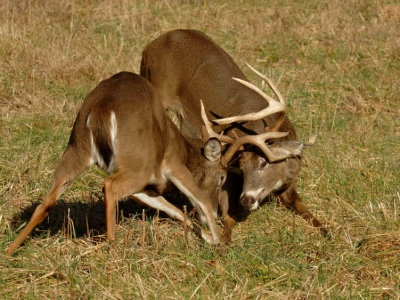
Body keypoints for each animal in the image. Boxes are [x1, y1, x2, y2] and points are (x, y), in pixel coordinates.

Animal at [6, 71, 228, 254]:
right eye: (222, 177)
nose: (218, 212)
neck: (184, 148)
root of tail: (102, 108)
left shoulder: (143, 188)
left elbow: (173, 209)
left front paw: (208, 237)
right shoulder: (171, 165)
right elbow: (199, 197)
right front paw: (219, 241)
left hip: (77, 147)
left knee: (46, 202)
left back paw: (9, 251)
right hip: (139, 162)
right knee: (109, 186)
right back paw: (112, 246)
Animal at [141, 29, 328, 240]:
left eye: (264, 163)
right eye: (242, 168)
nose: (247, 199)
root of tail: (149, 47)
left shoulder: (289, 185)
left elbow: (306, 210)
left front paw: (327, 232)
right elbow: (226, 220)